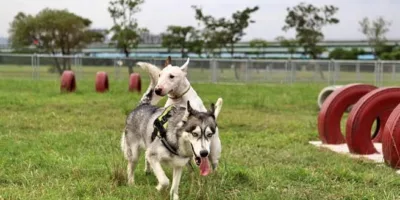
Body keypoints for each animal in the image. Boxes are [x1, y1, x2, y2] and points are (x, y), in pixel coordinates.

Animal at [120, 72, 223, 200]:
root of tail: (142, 105)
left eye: (209, 134)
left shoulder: (178, 165)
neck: (177, 140)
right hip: (133, 153)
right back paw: (131, 184)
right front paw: (158, 188)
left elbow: (174, 187)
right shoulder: (152, 155)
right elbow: (165, 181)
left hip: (213, 155)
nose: (204, 153)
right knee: (131, 167)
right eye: (195, 134)